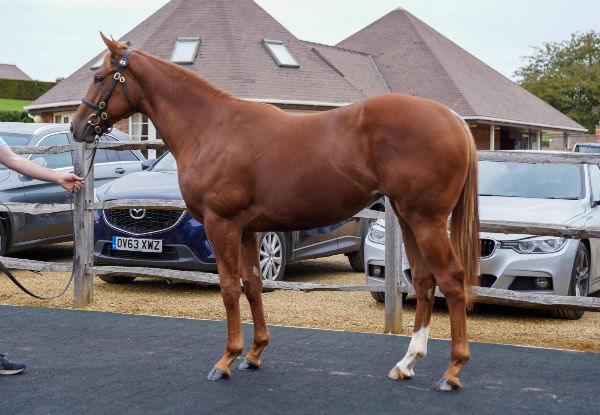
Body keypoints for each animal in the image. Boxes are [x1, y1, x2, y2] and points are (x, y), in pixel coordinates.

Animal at [72, 35, 480, 390]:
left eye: (99, 77)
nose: (77, 127)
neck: (210, 128)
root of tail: (453, 119)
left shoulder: (221, 225)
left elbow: (228, 289)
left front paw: (226, 360)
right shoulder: (248, 229)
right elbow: (253, 285)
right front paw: (254, 354)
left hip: (426, 221)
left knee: (452, 279)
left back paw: (453, 371)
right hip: (409, 219)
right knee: (424, 281)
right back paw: (407, 363)